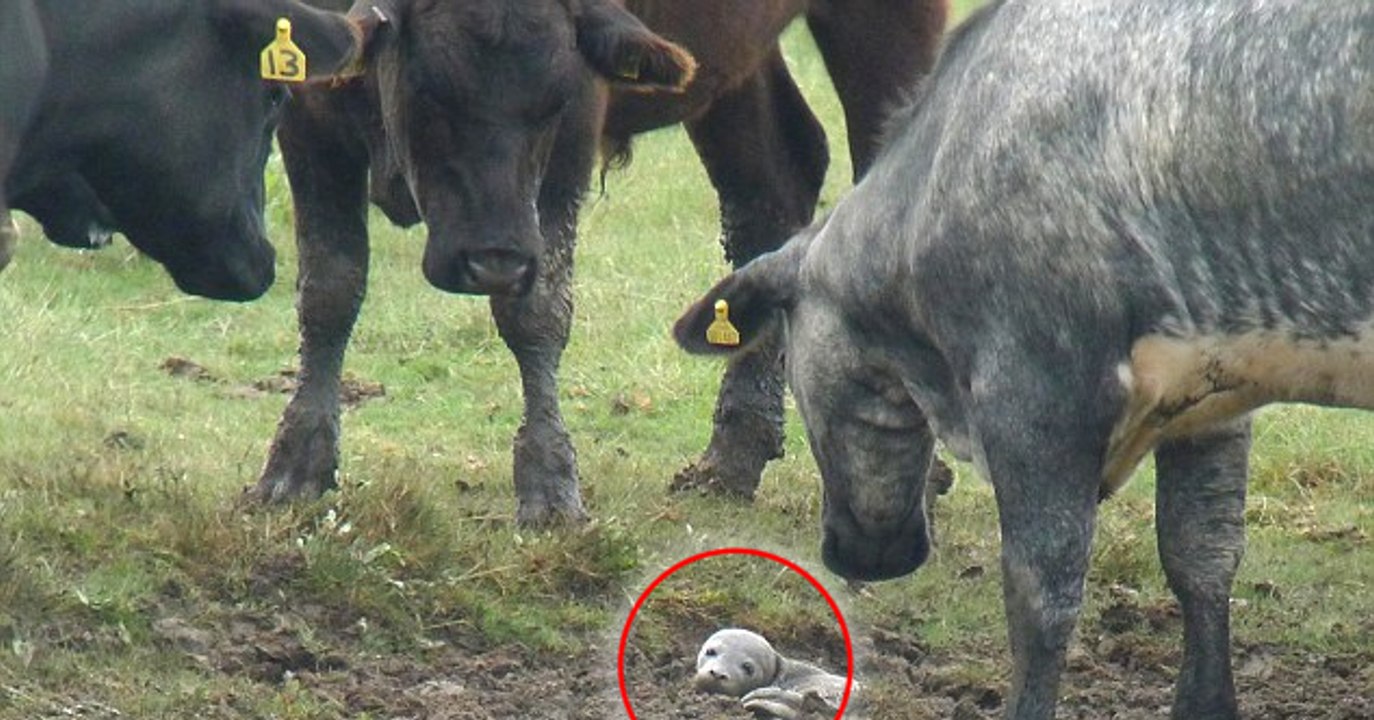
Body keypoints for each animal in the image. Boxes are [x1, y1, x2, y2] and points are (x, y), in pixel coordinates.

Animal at [247, 0, 948, 525]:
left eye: (553, 101)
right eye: (431, 91)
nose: (494, 262)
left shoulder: (575, 137)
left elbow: (537, 312)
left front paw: (550, 484)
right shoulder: (309, 115)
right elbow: (329, 290)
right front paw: (293, 468)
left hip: (884, 30)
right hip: (734, 74)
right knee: (772, 187)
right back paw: (729, 460)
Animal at [673, 1, 1374, 718]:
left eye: (792, 366)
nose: (865, 556)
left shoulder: (1035, 392)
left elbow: (1042, 591)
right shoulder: (1212, 387)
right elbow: (1201, 556)